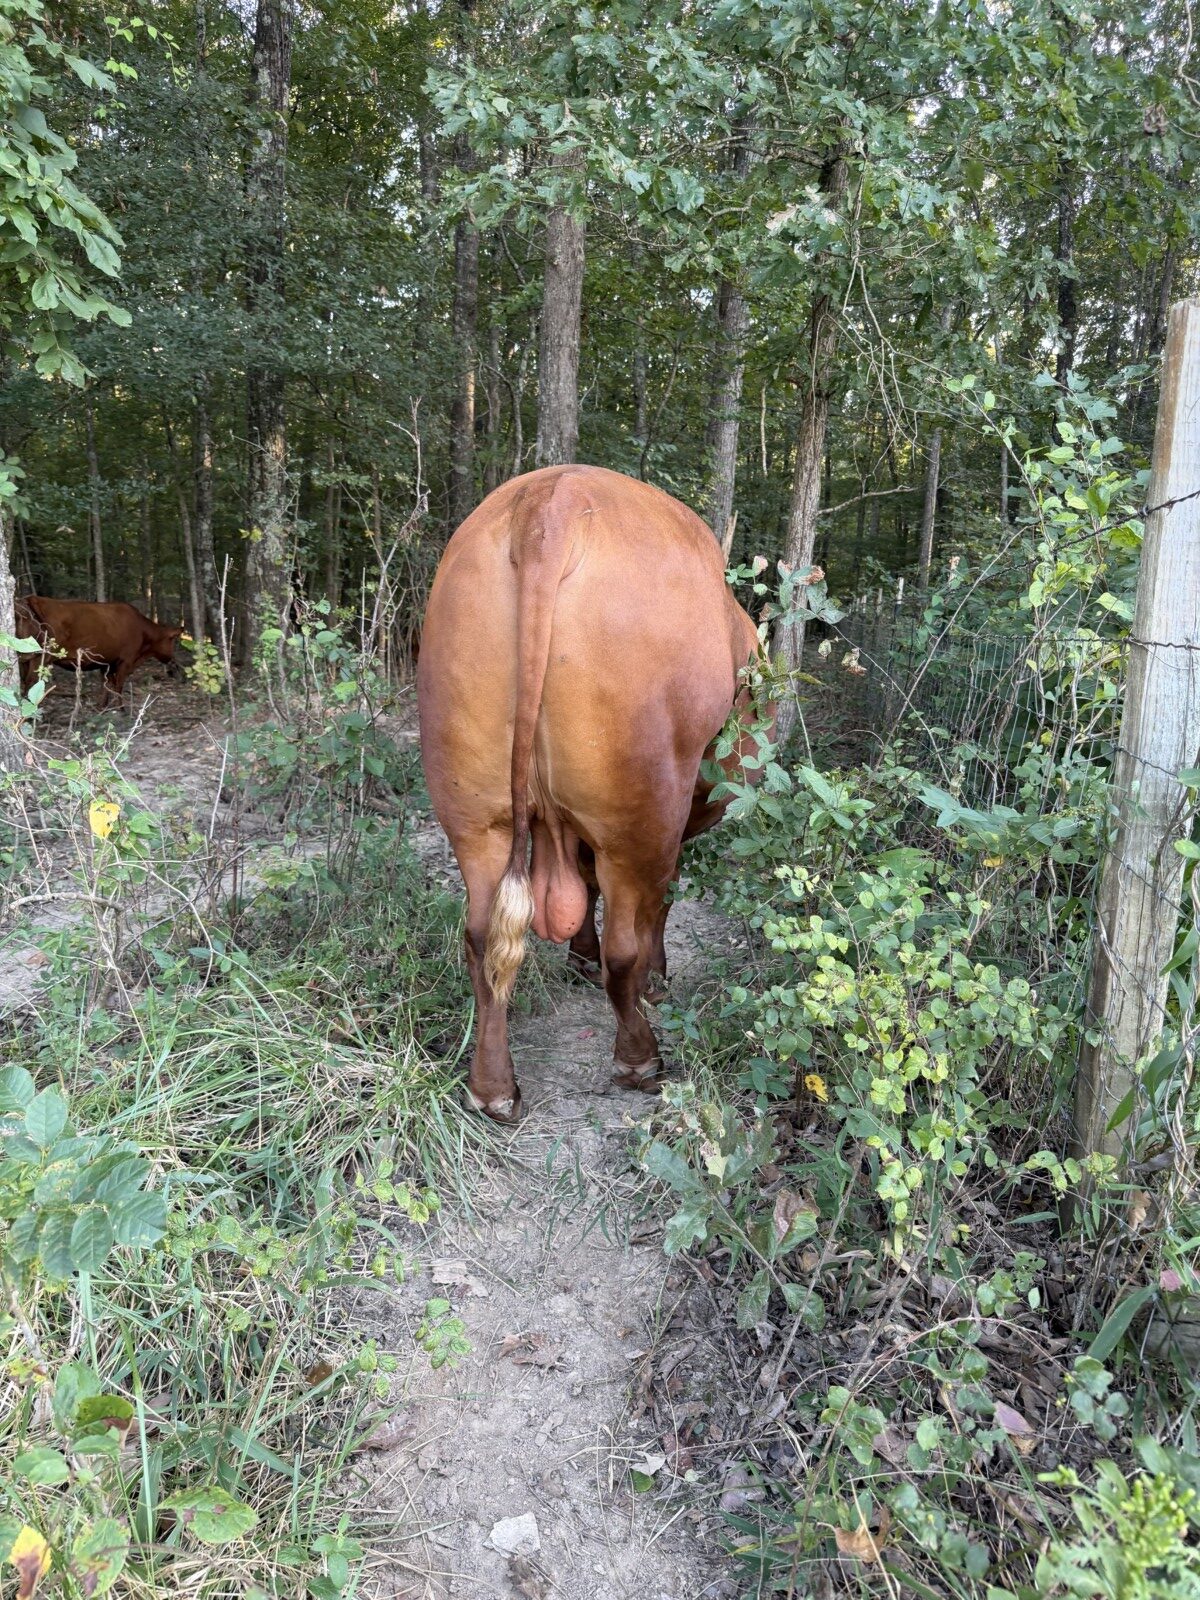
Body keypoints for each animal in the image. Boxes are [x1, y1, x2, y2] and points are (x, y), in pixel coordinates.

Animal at [17, 596, 184, 706]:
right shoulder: (126, 659)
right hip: (40, 656)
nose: (174, 661)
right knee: (30, 681)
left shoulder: (107, 661)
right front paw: (121, 708)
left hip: (25, 656)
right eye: (172, 641)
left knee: (24, 680)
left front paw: (102, 706)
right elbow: (118, 685)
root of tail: (32, 598)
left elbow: (106, 684)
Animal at [418, 464, 765, 1123]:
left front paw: (578, 955)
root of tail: (551, 502)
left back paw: (493, 1088)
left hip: (474, 809)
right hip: (644, 807)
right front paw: (654, 976)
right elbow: (658, 906)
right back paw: (638, 1058)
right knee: (626, 944)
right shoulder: (683, 812)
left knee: (483, 939)